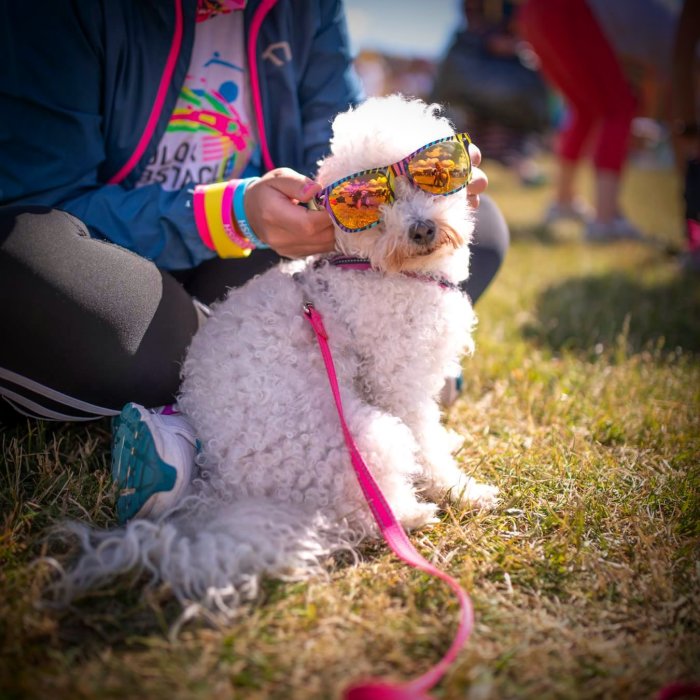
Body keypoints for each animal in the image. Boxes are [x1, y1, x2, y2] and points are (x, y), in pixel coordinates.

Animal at [56, 94, 498, 612]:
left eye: (436, 173)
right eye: (367, 202)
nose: (423, 229)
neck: (371, 267)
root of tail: (226, 490)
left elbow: (435, 434)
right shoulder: (399, 386)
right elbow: (427, 447)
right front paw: (463, 490)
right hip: (370, 440)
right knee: (367, 514)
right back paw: (413, 515)